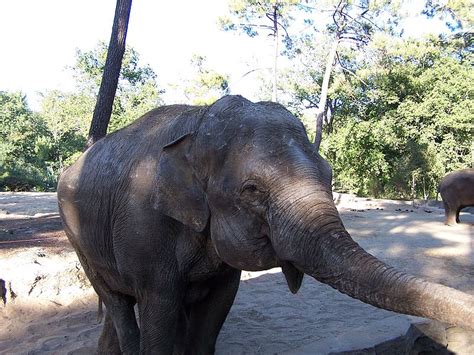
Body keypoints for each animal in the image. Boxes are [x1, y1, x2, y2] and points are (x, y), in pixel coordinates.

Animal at [58, 96, 474, 354]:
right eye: (252, 190)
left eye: (329, 174)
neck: (201, 118)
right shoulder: (144, 227)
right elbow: (159, 304)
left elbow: (215, 310)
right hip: (77, 236)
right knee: (116, 301)